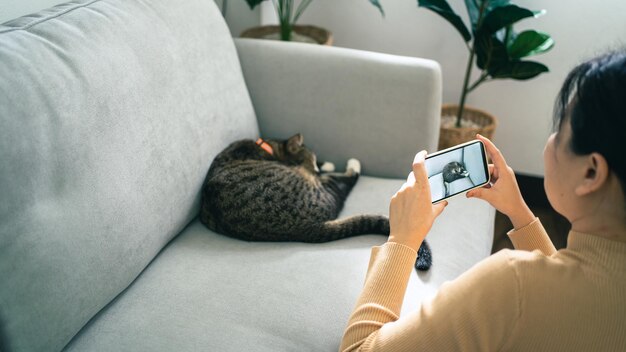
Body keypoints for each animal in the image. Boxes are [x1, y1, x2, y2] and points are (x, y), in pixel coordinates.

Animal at [200, 133, 428, 270]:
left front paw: (326, 163)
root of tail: (302, 228)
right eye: (310, 159)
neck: (266, 148)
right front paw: (327, 166)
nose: (316, 168)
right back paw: (353, 164)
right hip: (318, 189)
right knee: (342, 186)